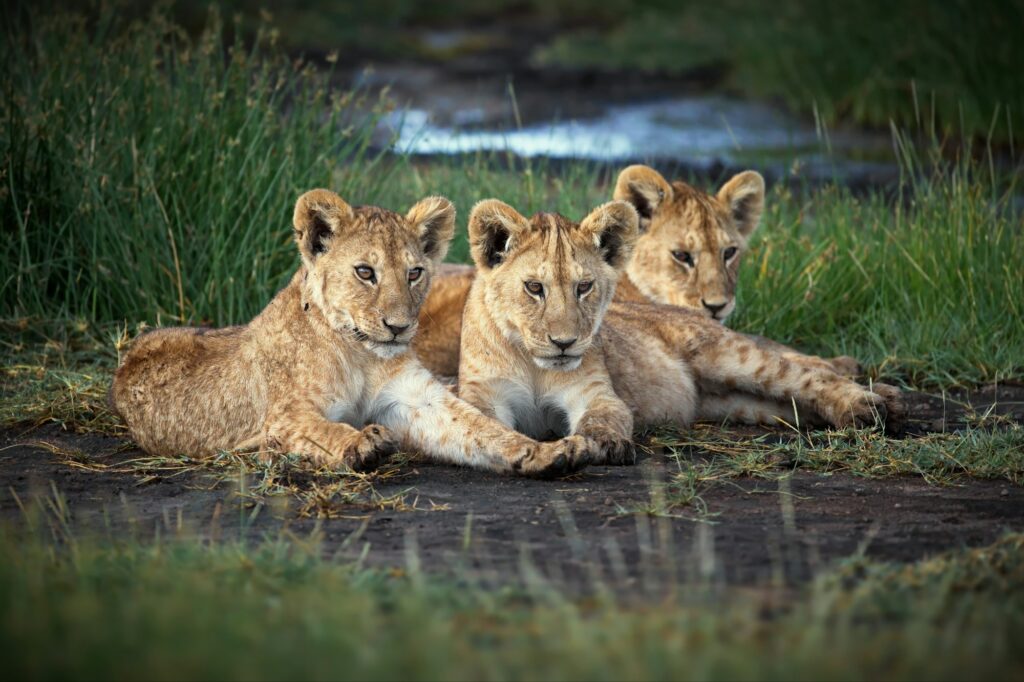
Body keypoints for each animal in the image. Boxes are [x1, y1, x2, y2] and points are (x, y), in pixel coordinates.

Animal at [109, 190, 590, 477]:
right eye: (365, 272)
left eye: (414, 273)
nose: (398, 327)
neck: (360, 353)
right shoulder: (282, 419)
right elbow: (325, 431)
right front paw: (363, 443)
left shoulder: (417, 399)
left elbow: (480, 428)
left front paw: (542, 452)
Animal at [455, 199, 904, 463]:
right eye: (534, 288)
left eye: (584, 287)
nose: (564, 343)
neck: (533, 362)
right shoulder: (484, 395)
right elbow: (485, 424)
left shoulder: (595, 392)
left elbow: (603, 417)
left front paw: (599, 444)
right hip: (737, 401)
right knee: (795, 401)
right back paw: (883, 402)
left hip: (729, 356)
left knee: (807, 374)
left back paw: (869, 406)